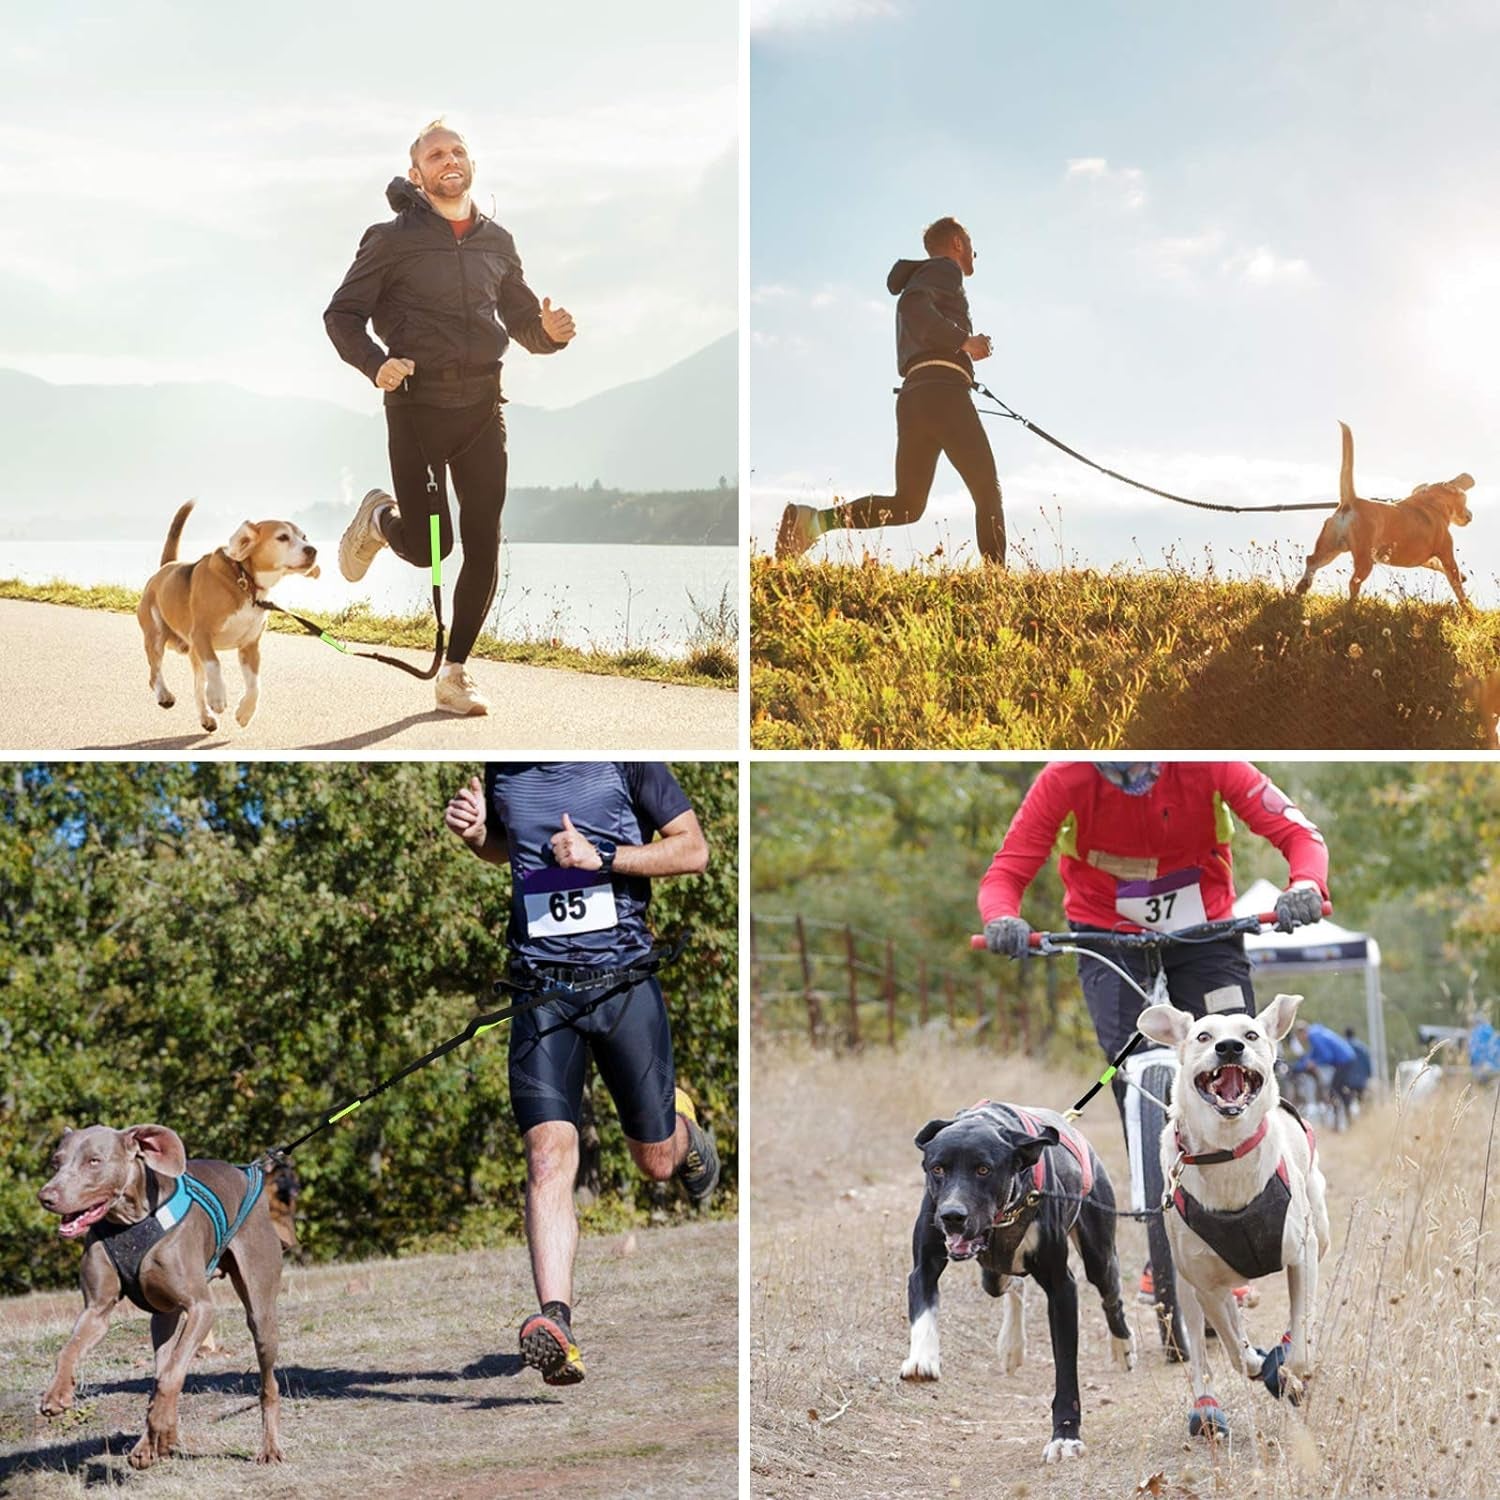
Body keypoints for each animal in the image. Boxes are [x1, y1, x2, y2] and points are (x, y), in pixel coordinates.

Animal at [34, 1128, 286, 1464]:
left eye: (94, 1161)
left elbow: (171, 1375)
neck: (129, 1222)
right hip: (163, 1319)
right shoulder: (97, 1310)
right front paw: (57, 1394)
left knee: (266, 1383)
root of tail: (247, 1172)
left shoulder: (201, 1308)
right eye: (55, 1162)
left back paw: (268, 1448)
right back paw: (152, 1442)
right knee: (162, 1366)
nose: (46, 1197)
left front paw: (160, 1425)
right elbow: (69, 1349)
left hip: (260, 1310)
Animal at [138, 498, 319, 732]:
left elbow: (255, 685)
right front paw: (217, 698)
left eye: (304, 537)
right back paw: (164, 694)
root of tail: (166, 568)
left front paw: (245, 713)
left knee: (197, 688)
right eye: (282, 537)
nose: (313, 550)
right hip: (158, 636)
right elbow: (215, 664)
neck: (244, 581)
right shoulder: (201, 635)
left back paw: (206, 717)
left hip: (194, 655)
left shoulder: (250, 647)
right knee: (154, 673)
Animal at [894, 1104, 1128, 1464]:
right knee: (1010, 1283)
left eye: (983, 1169)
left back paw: (1122, 1346)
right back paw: (1012, 1344)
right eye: (937, 1168)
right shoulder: (924, 1266)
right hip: (993, 1275)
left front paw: (1065, 1437)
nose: (952, 1216)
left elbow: (1066, 1371)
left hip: (1098, 1255)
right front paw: (923, 1359)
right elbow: (924, 1309)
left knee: (1111, 1294)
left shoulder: (1062, 1287)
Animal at [1128, 990, 1332, 1434]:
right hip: (1188, 1284)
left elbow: (1301, 1335)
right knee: (1206, 1347)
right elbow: (1236, 1351)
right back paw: (1206, 1407)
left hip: (1319, 1227)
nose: (1229, 1048)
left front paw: (1289, 1372)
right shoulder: (1205, 1283)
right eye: (1203, 1036)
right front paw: (1260, 1365)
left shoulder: (1302, 1252)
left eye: (1251, 1034)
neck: (1227, 1154)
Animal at [1296, 420, 1470, 606]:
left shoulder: (1426, 559)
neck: (1432, 503)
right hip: (1364, 559)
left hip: (1330, 547)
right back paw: (1351, 606)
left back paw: (1302, 588)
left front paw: (1463, 577)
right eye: (1464, 499)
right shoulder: (1446, 554)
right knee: (1353, 582)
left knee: (1311, 561)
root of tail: (1351, 501)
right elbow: (1456, 584)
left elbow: (1437, 565)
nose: (1470, 515)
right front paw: (1467, 607)